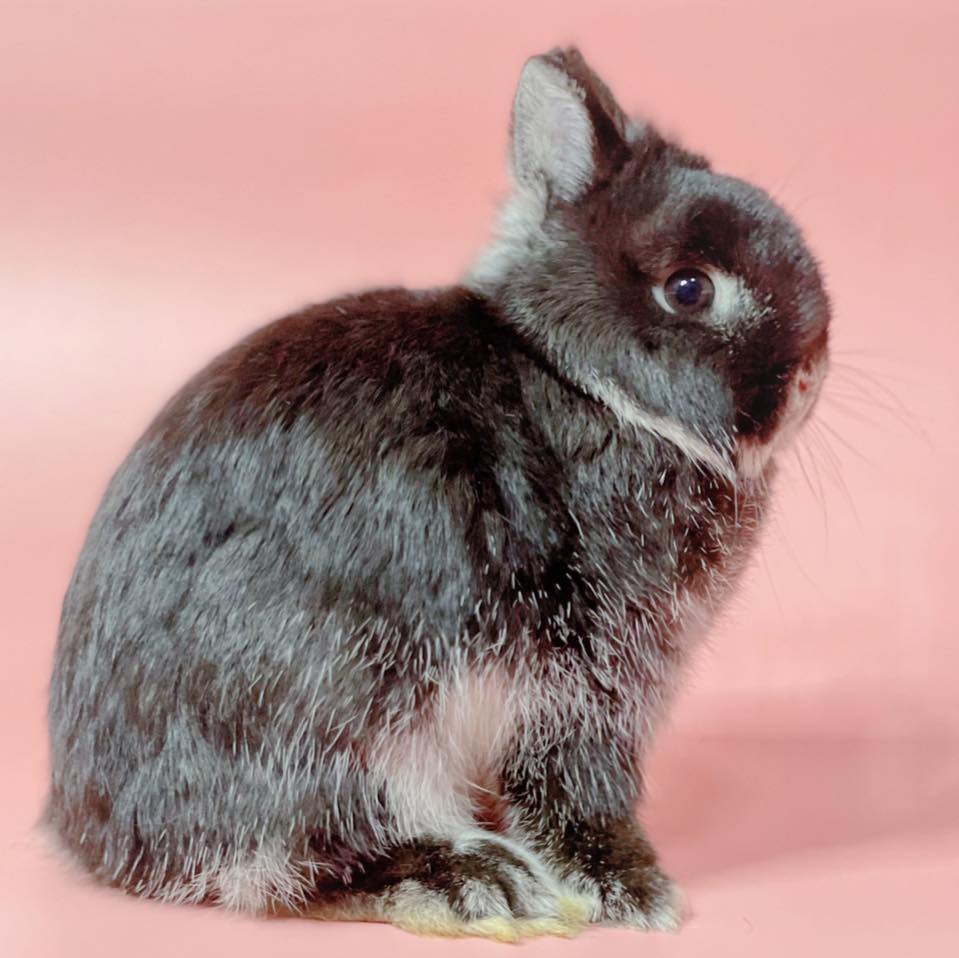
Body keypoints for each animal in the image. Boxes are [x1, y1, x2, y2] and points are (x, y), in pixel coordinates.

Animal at [45, 47, 830, 941]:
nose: (808, 374)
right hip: (335, 703)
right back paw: (475, 882)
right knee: (302, 855)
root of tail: (102, 839)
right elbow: (574, 789)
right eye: (689, 288)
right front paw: (635, 892)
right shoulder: (583, 676)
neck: (583, 381)